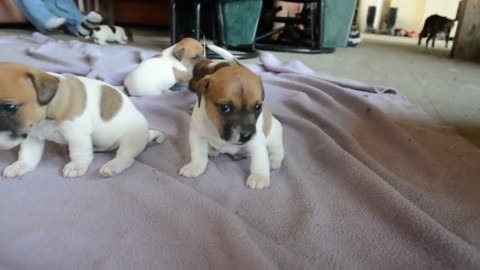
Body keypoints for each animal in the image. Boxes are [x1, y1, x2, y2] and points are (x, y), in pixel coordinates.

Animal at [0, 62, 165, 178]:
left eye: (10, 107)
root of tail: (147, 134)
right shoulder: (32, 136)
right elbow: (28, 154)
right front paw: (21, 165)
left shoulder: (77, 135)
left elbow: (79, 152)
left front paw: (76, 166)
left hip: (130, 140)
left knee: (126, 157)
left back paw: (113, 165)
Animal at [180, 44, 284, 190]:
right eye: (225, 107)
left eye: (258, 107)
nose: (246, 136)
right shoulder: (197, 135)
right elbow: (198, 154)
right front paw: (195, 167)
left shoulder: (257, 142)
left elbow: (260, 160)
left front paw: (259, 176)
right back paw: (212, 150)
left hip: (274, 136)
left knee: (278, 150)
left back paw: (274, 161)